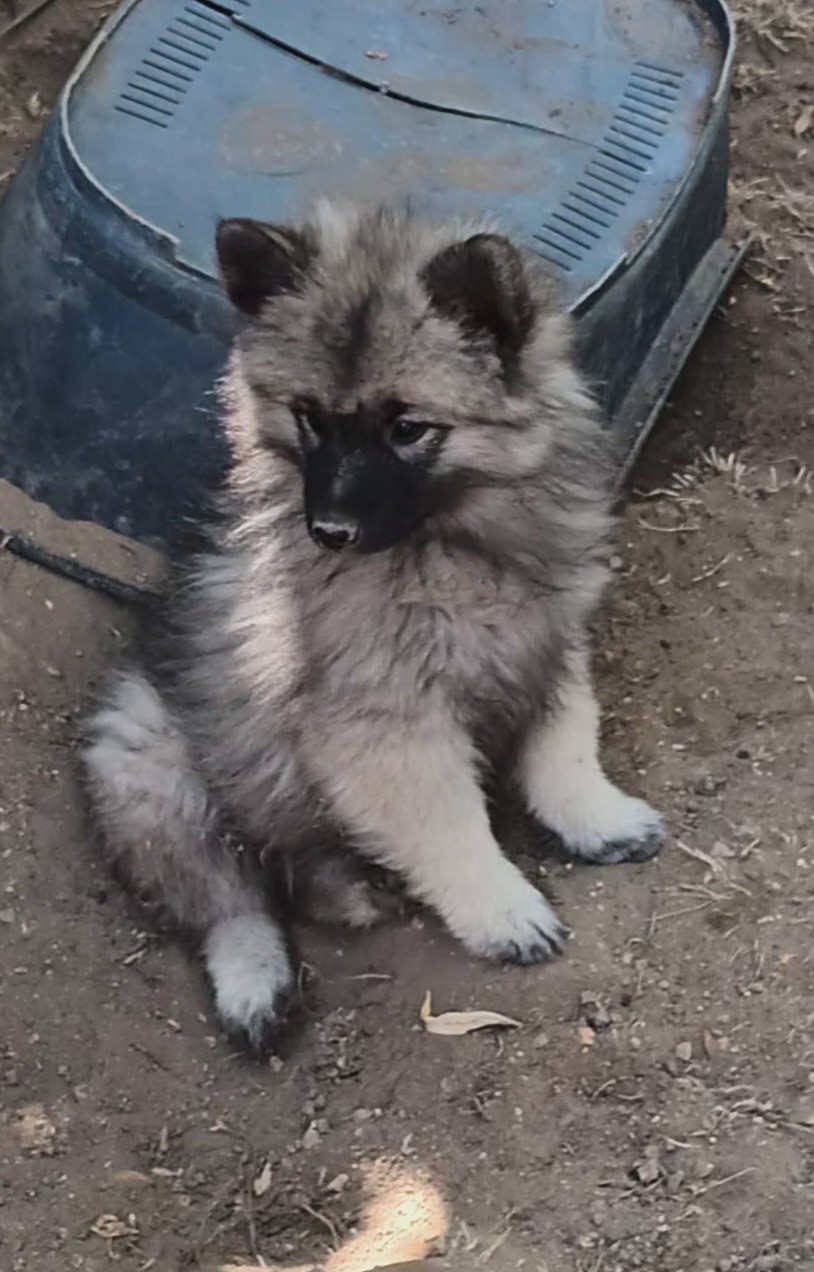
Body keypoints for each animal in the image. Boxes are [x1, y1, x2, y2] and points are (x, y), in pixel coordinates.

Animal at [82, 203, 663, 1055]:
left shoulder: (549, 647)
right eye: (308, 419)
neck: (455, 543)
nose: (329, 531)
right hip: (147, 763)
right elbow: (450, 823)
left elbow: (565, 749)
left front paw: (596, 819)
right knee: (229, 900)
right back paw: (258, 978)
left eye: (408, 427)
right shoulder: (387, 725)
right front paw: (502, 908)